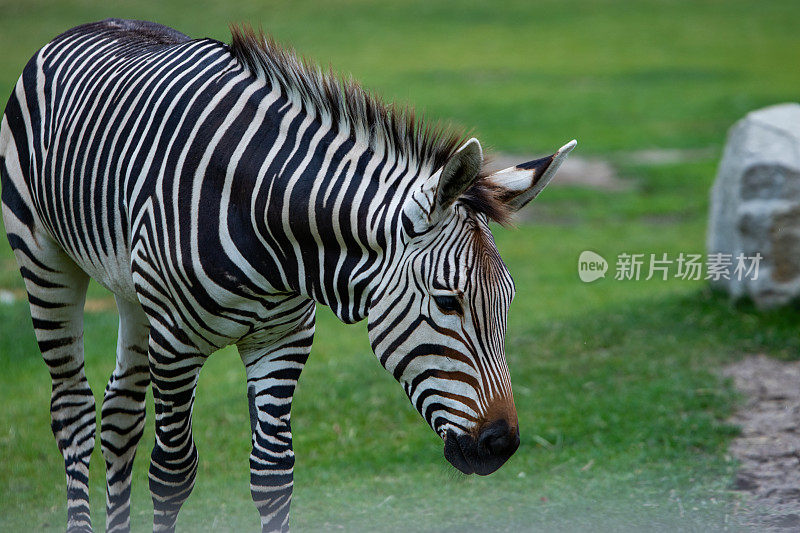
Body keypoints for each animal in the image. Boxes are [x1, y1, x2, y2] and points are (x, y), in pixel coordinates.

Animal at [0, 18, 576, 532]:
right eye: (448, 301)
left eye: (507, 301)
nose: (502, 445)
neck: (265, 214)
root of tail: (89, 25)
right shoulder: (177, 345)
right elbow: (172, 475)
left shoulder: (284, 340)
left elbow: (273, 475)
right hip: (44, 259)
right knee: (74, 409)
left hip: (131, 290)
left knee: (121, 414)